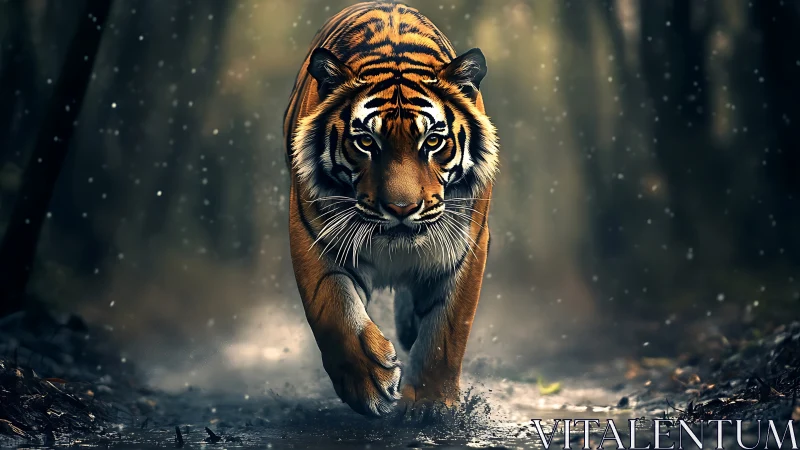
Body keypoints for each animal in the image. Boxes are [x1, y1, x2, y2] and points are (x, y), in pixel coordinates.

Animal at [282, 1, 499, 417]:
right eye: (366, 142)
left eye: (433, 141)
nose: (402, 208)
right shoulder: (312, 233)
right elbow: (332, 309)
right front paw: (369, 383)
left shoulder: (468, 244)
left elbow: (448, 327)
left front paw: (431, 404)